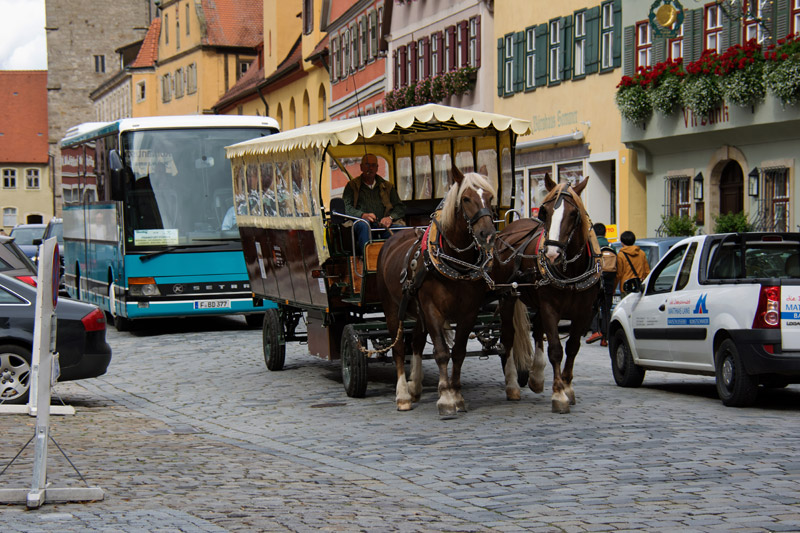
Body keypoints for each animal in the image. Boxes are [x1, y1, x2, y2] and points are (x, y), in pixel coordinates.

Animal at [490, 175, 604, 412]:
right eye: (544, 211)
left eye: (574, 213)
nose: (551, 255)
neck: (570, 271)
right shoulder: (550, 307)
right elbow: (556, 349)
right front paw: (559, 394)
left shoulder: (584, 311)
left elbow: (572, 347)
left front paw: (567, 388)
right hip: (507, 297)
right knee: (508, 337)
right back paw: (512, 385)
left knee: (537, 330)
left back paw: (536, 377)